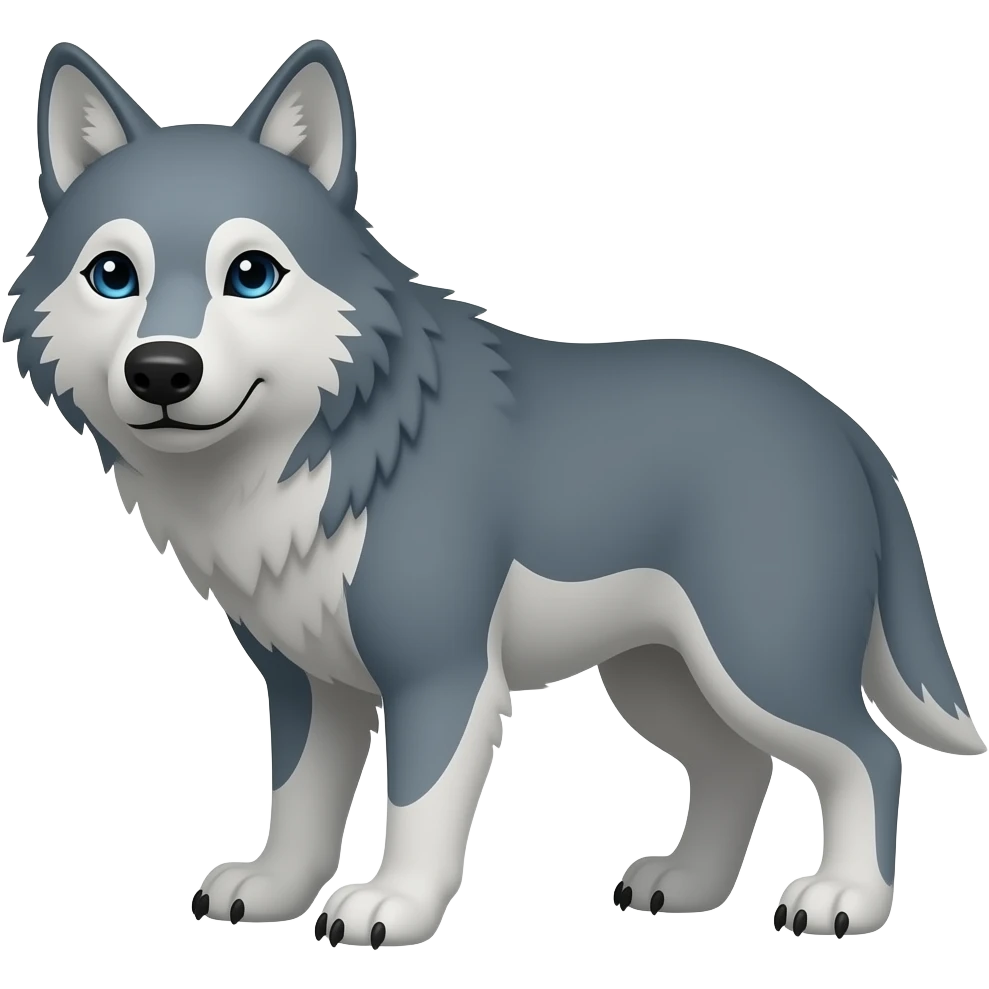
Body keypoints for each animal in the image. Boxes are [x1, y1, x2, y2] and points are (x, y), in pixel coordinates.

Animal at [4, 38, 984, 948]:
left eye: (251, 273)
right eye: (112, 275)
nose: (162, 370)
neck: (320, 448)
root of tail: (840, 422)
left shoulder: (442, 671)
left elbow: (417, 808)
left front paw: (390, 907)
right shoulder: (305, 680)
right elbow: (299, 802)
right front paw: (275, 891)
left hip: (757, 662)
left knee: (867, 754)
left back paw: (844, 898)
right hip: (660, 677)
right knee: (737, 767)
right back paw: (685, 886)